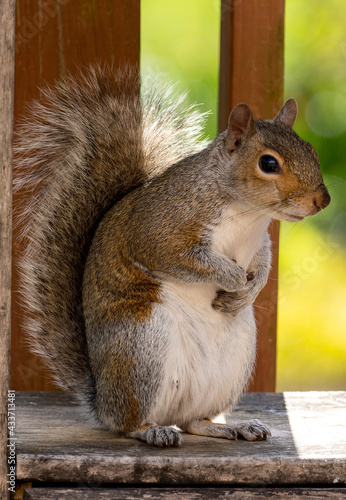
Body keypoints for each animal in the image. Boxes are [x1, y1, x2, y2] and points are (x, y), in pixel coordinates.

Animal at [15, 65, 330, 446]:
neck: (249, 215)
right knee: (130, 422)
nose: (322, 200)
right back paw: (151, 431)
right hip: (141, 345)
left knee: (193, 420)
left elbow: (265, 266)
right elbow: (188, 261)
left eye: (311, 150)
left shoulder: (260, 243)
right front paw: (234, 277)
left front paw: (248, 292)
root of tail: (102, 401)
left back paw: (232, 426)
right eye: (268, 163)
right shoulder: (161, 232)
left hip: (232, 361)